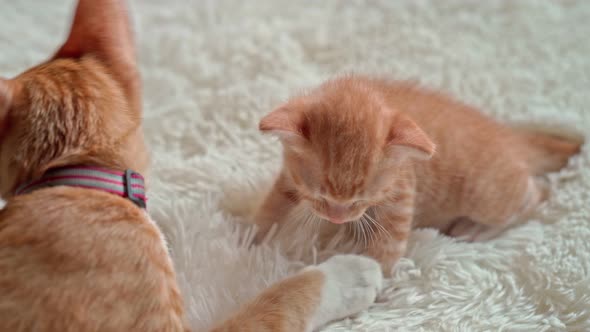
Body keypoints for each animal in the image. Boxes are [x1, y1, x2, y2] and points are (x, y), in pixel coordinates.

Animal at [256, 76, 584, 274]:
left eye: (360, 200)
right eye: (320, 197)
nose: (337, 219)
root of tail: (511, 137)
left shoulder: (401, 189)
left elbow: (391, 240)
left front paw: (372, 281)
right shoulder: (291, 175)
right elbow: (275, 202)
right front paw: (254, 238)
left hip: (488, 196)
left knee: (535, 194)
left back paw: (477, 228)